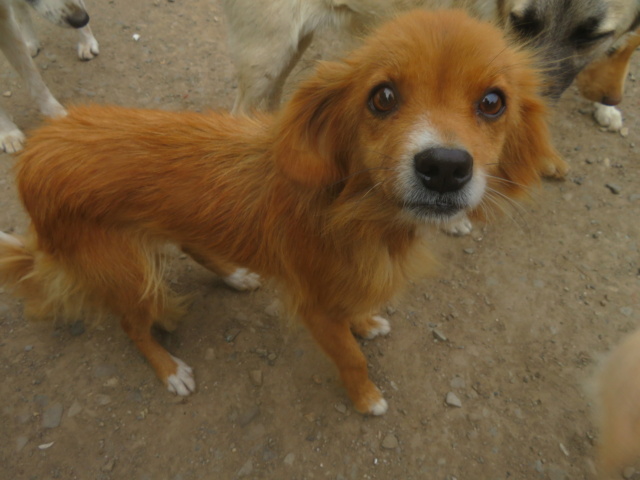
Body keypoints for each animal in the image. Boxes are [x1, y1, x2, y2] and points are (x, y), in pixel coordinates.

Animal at [0, 9, 560, 414]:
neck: (354, 209)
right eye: (382, 97)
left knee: (191, 242)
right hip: (128, 274)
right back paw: (170, 370)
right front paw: (366, 399)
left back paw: (235, 275)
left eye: (493, 102)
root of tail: (37, 151)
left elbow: (355, 314)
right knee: (133, 328)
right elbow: (352, 359)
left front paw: (364, 321)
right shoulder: (315, 309)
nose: (444, 167)